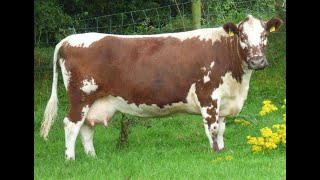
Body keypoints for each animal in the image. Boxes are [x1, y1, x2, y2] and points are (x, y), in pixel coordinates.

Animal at [40, 14, 282, 160]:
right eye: (242, 35)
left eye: (264, 35)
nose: (258, 61)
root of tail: (68, 39)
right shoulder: (208, 95)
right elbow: (212, 128)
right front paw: (214, 154)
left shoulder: (224, 100)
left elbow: (221, 128)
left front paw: (222, 151)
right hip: (80, 96)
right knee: (71, 125)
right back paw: (70, 159)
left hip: (94, 101)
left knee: (86, 128)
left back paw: (93, 158)